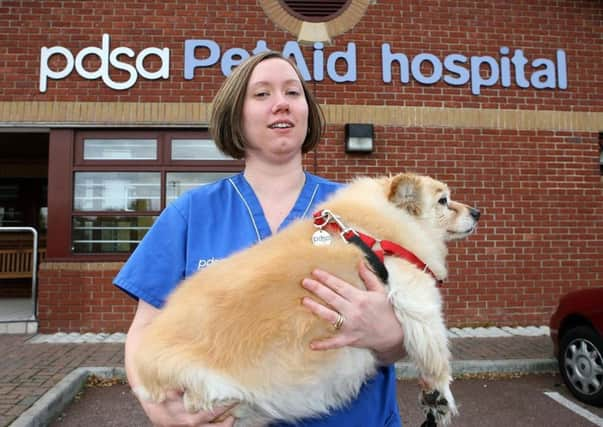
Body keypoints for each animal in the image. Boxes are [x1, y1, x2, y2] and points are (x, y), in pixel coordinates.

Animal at [133, 172, 482, 426]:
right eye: (444, 201)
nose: (478, 211)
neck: (373, 230)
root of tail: (144, 369)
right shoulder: (416, 291)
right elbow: (435, 351)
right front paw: (439, 395)